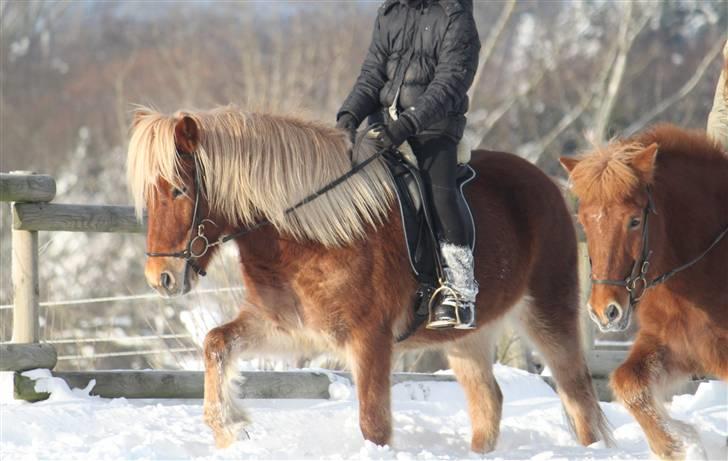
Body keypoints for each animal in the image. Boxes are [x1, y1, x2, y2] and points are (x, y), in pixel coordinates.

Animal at [126, 105, 608, 450]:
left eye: (179, 190)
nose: (160, 277)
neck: (311, 232)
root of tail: (548, 185)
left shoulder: (370, 339)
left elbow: (373, 424)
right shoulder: (287, 328)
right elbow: (215, 344)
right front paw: (230, 428)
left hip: (548, 313)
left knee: (579, 396)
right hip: (466, 337)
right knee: (489, 402)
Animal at [560, 124, 724, 458]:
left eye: (634, 221)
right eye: (584, 222)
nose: (605, 311)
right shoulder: (676, 345)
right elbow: (629, 385)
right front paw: (680, 442)